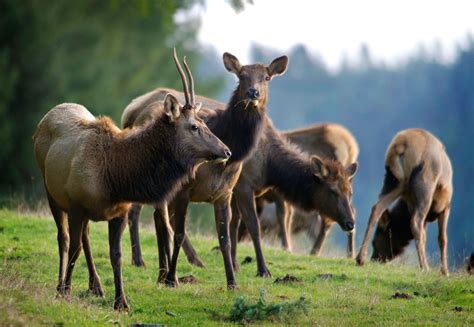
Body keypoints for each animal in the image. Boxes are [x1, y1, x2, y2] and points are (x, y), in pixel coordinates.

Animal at [32, 50, 231, 312]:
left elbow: (116, 255)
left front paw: (121, 302)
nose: (227, 151)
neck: (115, 178)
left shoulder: (119, 212)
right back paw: (63, 285)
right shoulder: (75, 205)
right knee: (64, 240)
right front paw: (64, 291)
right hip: (51, 192)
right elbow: (73, 248)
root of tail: (46, 117)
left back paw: (96, 285)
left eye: (205, 123)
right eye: (194, 126)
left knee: (85, 237)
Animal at [356, 129, 452, 276]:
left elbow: (424, 236)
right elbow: (442, 238)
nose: (375, 258)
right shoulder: (446, 207)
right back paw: (425, 267)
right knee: (415, 222)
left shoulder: (411, 204)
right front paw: (445, 272)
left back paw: (360, 258)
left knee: (377, 207)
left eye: (376, 240)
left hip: (394, 181)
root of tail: (401, 145)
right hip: (424, 184)